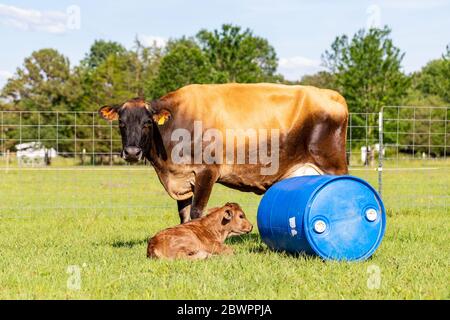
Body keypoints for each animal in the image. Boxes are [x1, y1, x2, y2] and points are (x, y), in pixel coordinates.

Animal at [100, 82, 350, 222]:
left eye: (147, 123)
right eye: (121, 122)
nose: (132, 152)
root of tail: (333, 95)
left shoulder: (206, 172)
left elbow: (196, 212)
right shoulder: (182, 177)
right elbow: (183, 214)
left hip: (333, 164)